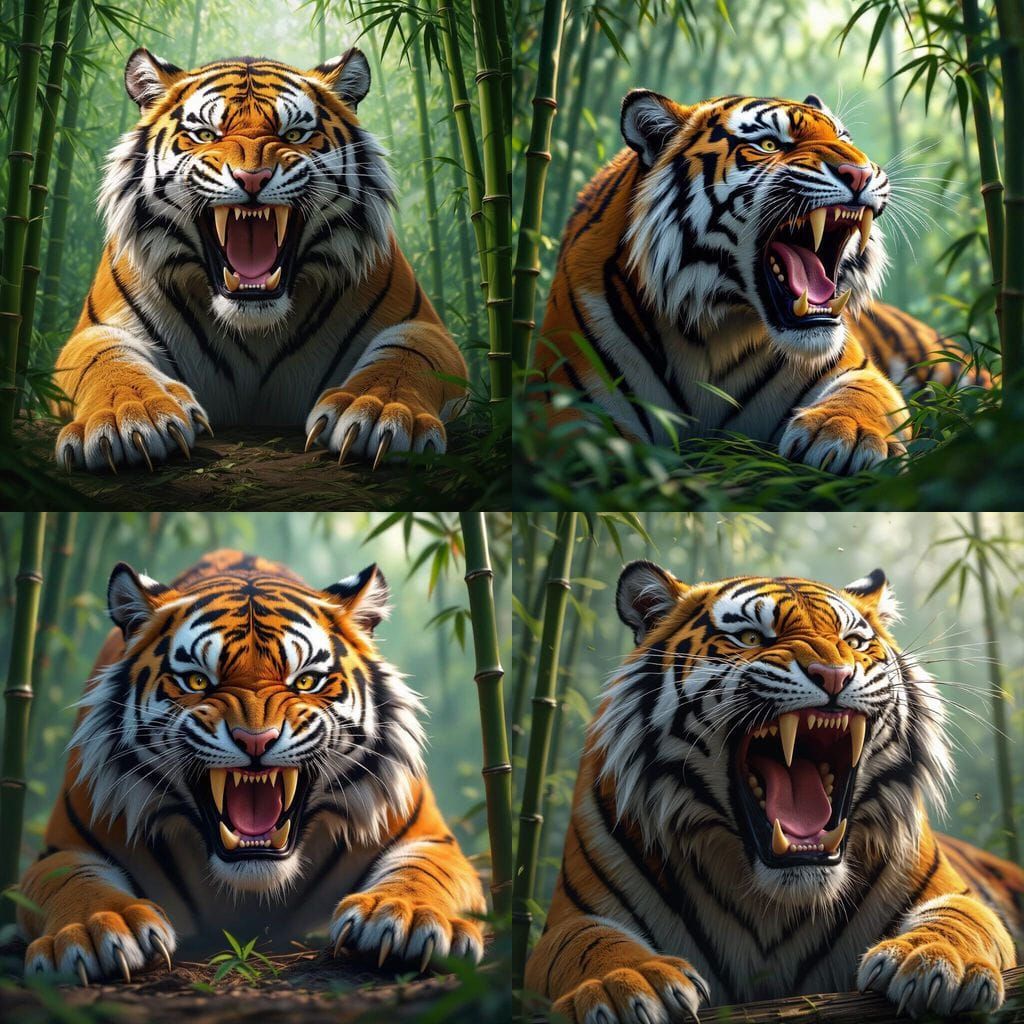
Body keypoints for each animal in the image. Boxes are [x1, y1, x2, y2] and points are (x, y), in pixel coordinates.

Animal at [17, 549, 486, 983]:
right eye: (198, 681)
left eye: (306, 681)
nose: (255, 739)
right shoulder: (63, 848)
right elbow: (75, 879)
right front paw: (95, 930)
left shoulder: (431, 838)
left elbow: (422, 870)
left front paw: (404, 915)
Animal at [53, 48, 466, 474]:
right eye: (206, 134)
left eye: (294, 135)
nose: (252, 178)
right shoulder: (93, 332)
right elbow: (107, 360)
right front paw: (126, 418)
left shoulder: (425, 327)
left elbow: (405, 355)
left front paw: (381, 412)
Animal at [525, 561, 1023, 1021]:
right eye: (750, 638)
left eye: (854, 642)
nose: (834, 674)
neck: (774, 902)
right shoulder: (571, 919)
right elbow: (589, 942)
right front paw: (624, 983)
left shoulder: (955, 894)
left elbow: (959, 921)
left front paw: (939, 963)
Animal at [534, 90, 988, 475]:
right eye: (770, 145)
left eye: (846, 138)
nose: (860, 172)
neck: (710, 334)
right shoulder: (564, 400)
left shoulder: (856, 368)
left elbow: (864, 396)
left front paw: (847, 435)